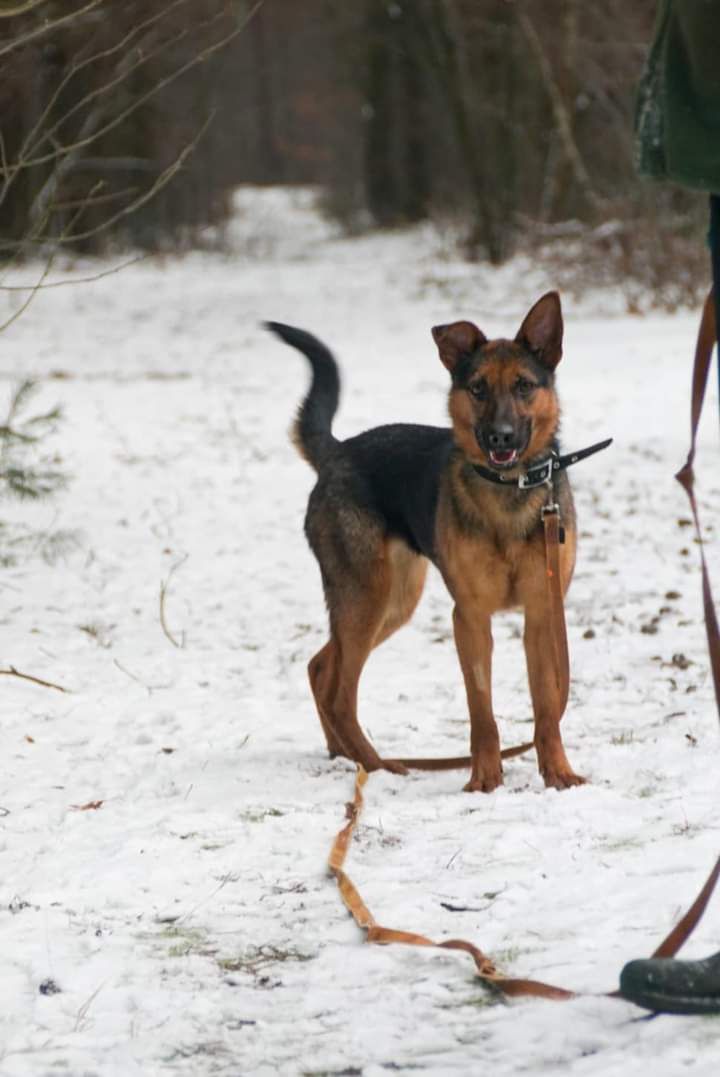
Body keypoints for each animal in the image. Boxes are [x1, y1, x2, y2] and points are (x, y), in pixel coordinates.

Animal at [266, 292, 581, 792]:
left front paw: (558, 773)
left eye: (524, 386)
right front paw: (484, 780)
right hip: (367, 599)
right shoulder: (469, 618)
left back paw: (343, 754)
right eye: (478, 389)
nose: (500, 438)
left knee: (320, 668)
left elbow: (547, 709)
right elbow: (481, 712)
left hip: (393, 601)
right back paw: (376, 764)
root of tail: (337, 452)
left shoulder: (541, 614)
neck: (508, 489)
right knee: (340, 692)